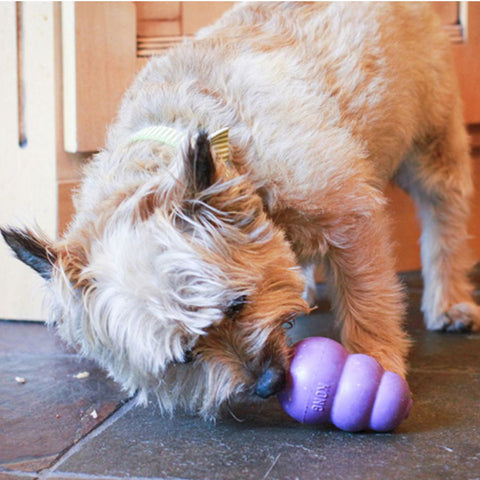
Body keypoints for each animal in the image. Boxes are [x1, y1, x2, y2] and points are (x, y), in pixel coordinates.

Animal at [1, 1, 478, 418]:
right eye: (185, 355)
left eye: (237, 303)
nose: (268, 383)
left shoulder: (350, 219)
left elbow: (368, 299)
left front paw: (375, 361)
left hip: (432, 145)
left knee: (446, 218)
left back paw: (450, 301)